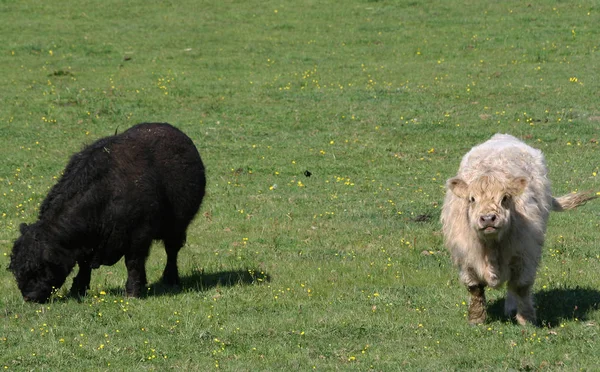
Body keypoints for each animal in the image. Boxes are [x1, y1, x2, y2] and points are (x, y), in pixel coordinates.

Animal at [8, 123, 206, 304]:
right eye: (17, 270)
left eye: (39, 268)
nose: (29, 297)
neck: (106, 193)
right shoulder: (89, 243)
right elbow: (84, 265)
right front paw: (78, 289)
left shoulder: (139, 235)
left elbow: (133, 263)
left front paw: (132, 293)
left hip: (177, 227)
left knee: (171, 251)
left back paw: (170, 279)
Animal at [440, 134, 596, 326]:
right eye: (472, 199)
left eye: (505, 198)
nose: (488, 218)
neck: (491, 248)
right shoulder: (465, 257)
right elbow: (474, 288)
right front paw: (476, 320)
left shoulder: (525, 252)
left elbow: (521, 286)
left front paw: (526, 319)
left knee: (512, 286)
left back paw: (511, 308)